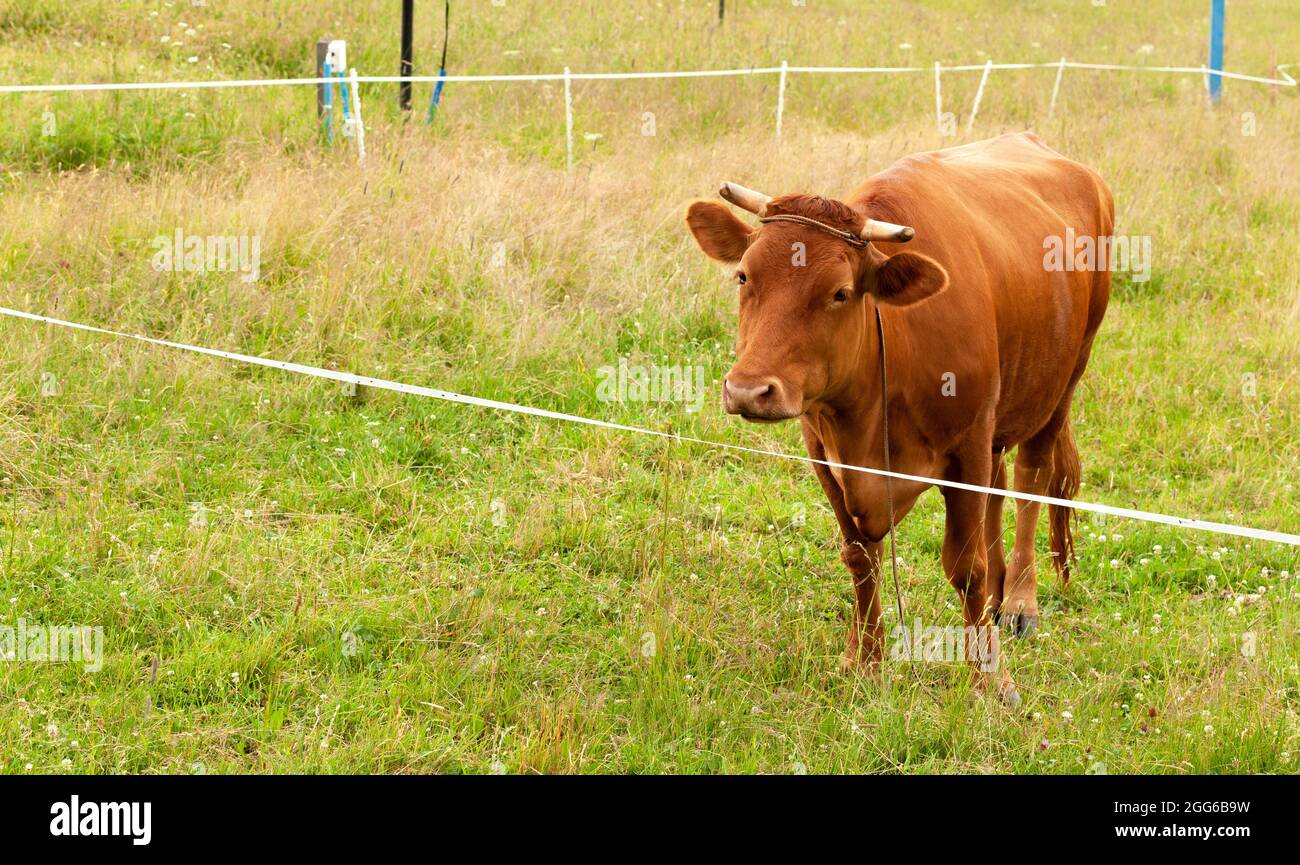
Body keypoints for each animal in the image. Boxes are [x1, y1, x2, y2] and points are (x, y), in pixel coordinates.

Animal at [686, 133, 1112, 702]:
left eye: (840, 292)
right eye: (743, 275)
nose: (749, 390)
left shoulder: (966, 444)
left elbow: (965, 566)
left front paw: (989, 679)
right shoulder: (822, 449)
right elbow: (859, 556)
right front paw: (863, 658)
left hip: (1064, 379)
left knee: (1030, 479)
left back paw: (1020, 600)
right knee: (1001, 486)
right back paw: (1000, 595)